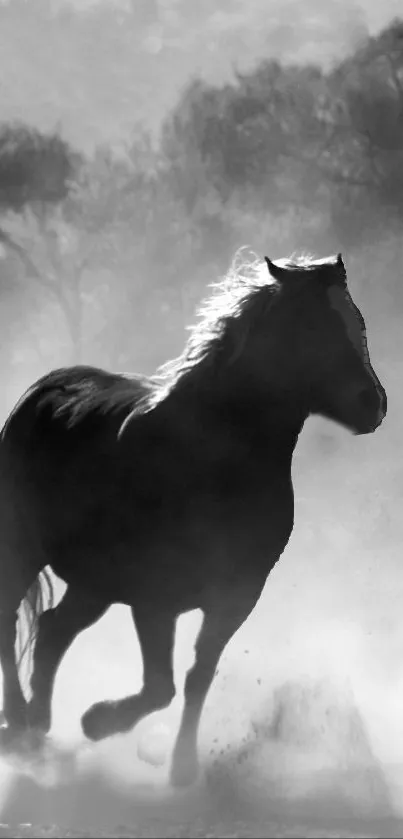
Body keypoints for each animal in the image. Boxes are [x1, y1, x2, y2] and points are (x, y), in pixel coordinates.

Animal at [0, 251, 388, 788]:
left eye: (357, 321)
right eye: (313, 325)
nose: (372, 404)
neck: (212, 460)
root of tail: (41, 392)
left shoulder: (235, 597)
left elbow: (196, 677)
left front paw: (183, 767)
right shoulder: (155, 598)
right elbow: (160, 686)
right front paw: (98, 721)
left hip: (94, 583)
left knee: (53, 630)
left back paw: (39, 725)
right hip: (24, 552)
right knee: (10, 619)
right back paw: (19, 722)